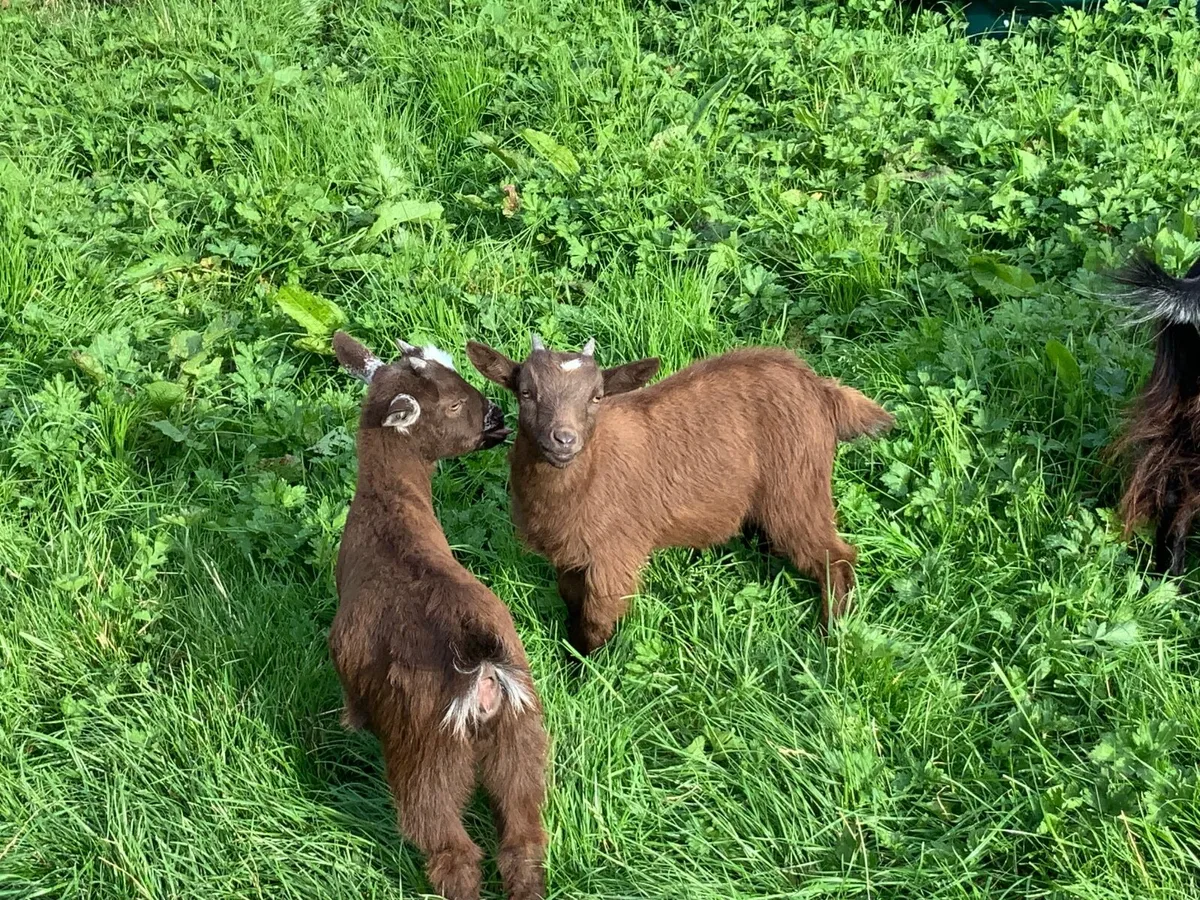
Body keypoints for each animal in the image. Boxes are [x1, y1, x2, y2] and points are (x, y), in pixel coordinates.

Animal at [329, 332, 547, 900]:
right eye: (451, 402)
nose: (498, 417)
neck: (392, 521)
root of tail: (485, 673)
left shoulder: (347, 662)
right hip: (522, 738)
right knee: (523, 837)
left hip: (427, 758)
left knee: (452, 851)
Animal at [466, 335, 893, 656]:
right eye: (526, 392)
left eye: (597, 396)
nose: (564, 439)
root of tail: (822, 389)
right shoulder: (570, 555)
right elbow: (572, 604)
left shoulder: (615, 555)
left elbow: (596, 619)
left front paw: (585, 676)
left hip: (797, 488)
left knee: (837, 558)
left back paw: (829, 636)